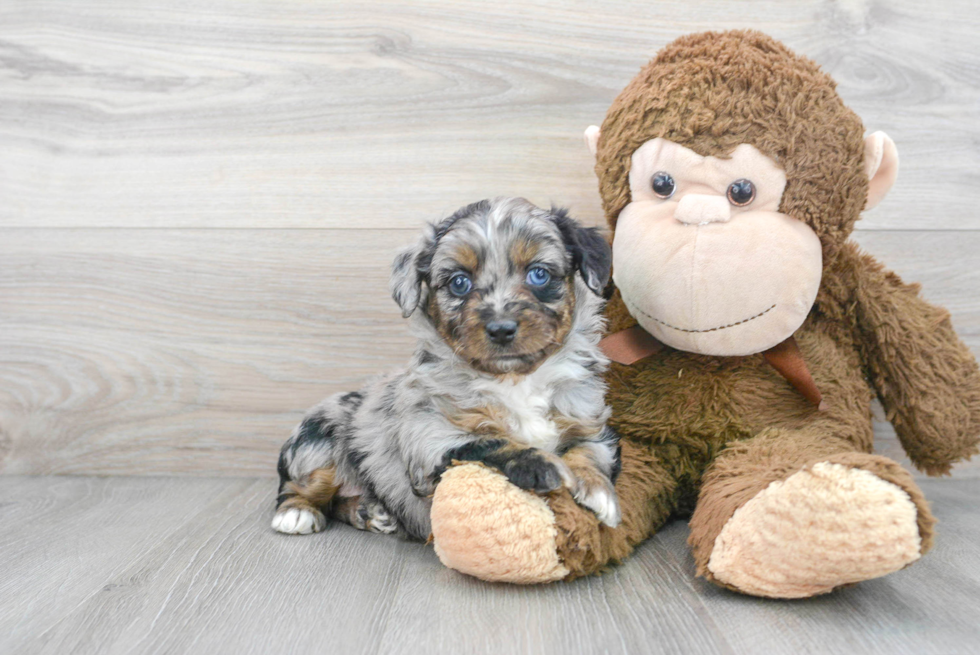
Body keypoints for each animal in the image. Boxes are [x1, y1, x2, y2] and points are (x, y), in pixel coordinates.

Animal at [272, 197, 620, 540]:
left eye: (539, 274)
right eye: (459, 282)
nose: (501, 329)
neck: (515, 380)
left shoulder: (590, 423)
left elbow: (589, 451)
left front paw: (598, 491)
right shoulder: (431, 439)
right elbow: (489, 443)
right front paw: (542, 465)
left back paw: (368, 512)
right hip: (319, 442)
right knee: (302, 486)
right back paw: (297, 512)